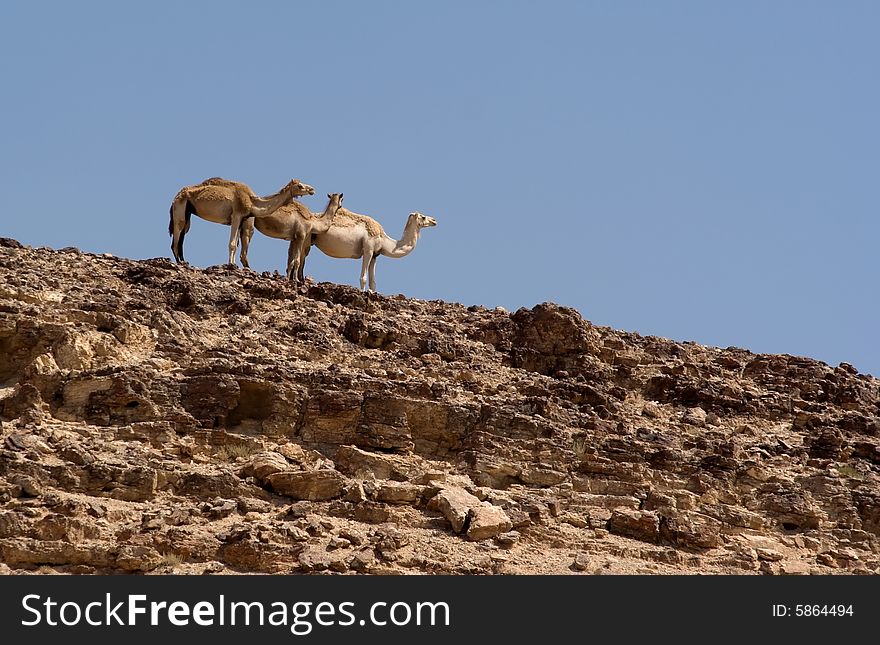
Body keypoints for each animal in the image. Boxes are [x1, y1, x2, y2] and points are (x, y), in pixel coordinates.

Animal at [167, 176, 314, 266]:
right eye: (300, 186)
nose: (312, 189)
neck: (251, 201)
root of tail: (175, 197)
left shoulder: (242, 218)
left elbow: (236, 244)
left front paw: (233, 263)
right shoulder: (236, 215)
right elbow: (232, 244)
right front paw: (231, 265)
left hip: (187, 212)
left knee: (183, 233)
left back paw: (184, 261)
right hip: (180, 208)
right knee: (178, 232)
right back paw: (180, 262)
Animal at [300, 206, 438, 292]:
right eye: (423, 217)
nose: (434, 220)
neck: (385, 240)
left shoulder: (375, 255)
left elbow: (373, 282)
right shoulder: (368, 249)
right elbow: (364, 278)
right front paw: (362, 292)